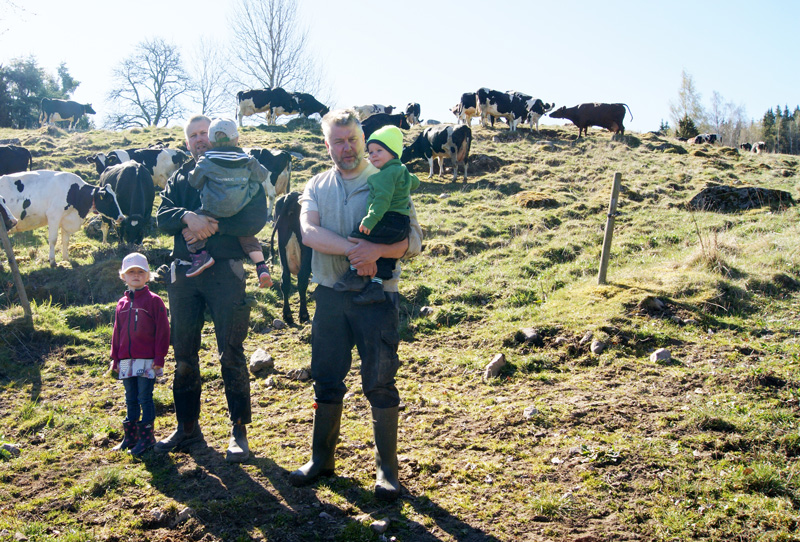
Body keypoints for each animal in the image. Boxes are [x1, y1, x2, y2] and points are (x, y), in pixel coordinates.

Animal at [268, 192, 308, 326]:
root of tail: (293, 195)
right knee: (302, 279)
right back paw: (304, 315)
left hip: (281, 248)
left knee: (285, 280)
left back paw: (287, 315)